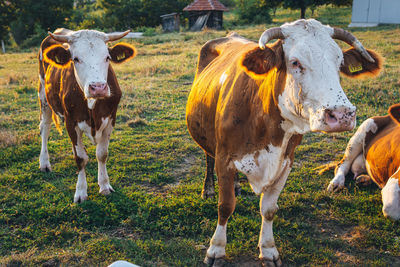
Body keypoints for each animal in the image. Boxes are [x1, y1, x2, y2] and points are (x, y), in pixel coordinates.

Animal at [39, 29, 136, 203]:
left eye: (107, 57)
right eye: (76, 59)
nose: (98, 87)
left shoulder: (111, 118)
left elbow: (102, 154)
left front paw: (104, 185)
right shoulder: (70, 122)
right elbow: (80, 158)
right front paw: (81, 191)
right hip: (44, 96)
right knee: (45, 127)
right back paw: (44, 162)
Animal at [186, 19, 382, 266]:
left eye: (339, 62)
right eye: (295, 62)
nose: (341, 115)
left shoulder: (286, 161)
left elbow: (269, 208)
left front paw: (268, 250)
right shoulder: (225, 158)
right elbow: (225, 206)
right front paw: (216, 250)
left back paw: (238, 185)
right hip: (207, 136)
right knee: (207, 157)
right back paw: (209, 189)